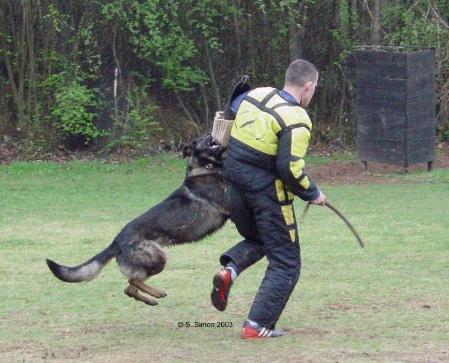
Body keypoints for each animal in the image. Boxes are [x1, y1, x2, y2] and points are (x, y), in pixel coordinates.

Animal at [46, 135, 228, 306]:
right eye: (201, 139)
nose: (211, 134)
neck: (204, 168)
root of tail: (117, 241)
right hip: (158, 258)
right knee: (132, 281)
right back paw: (155, 294)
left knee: (129, 288)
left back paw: (151, 299)